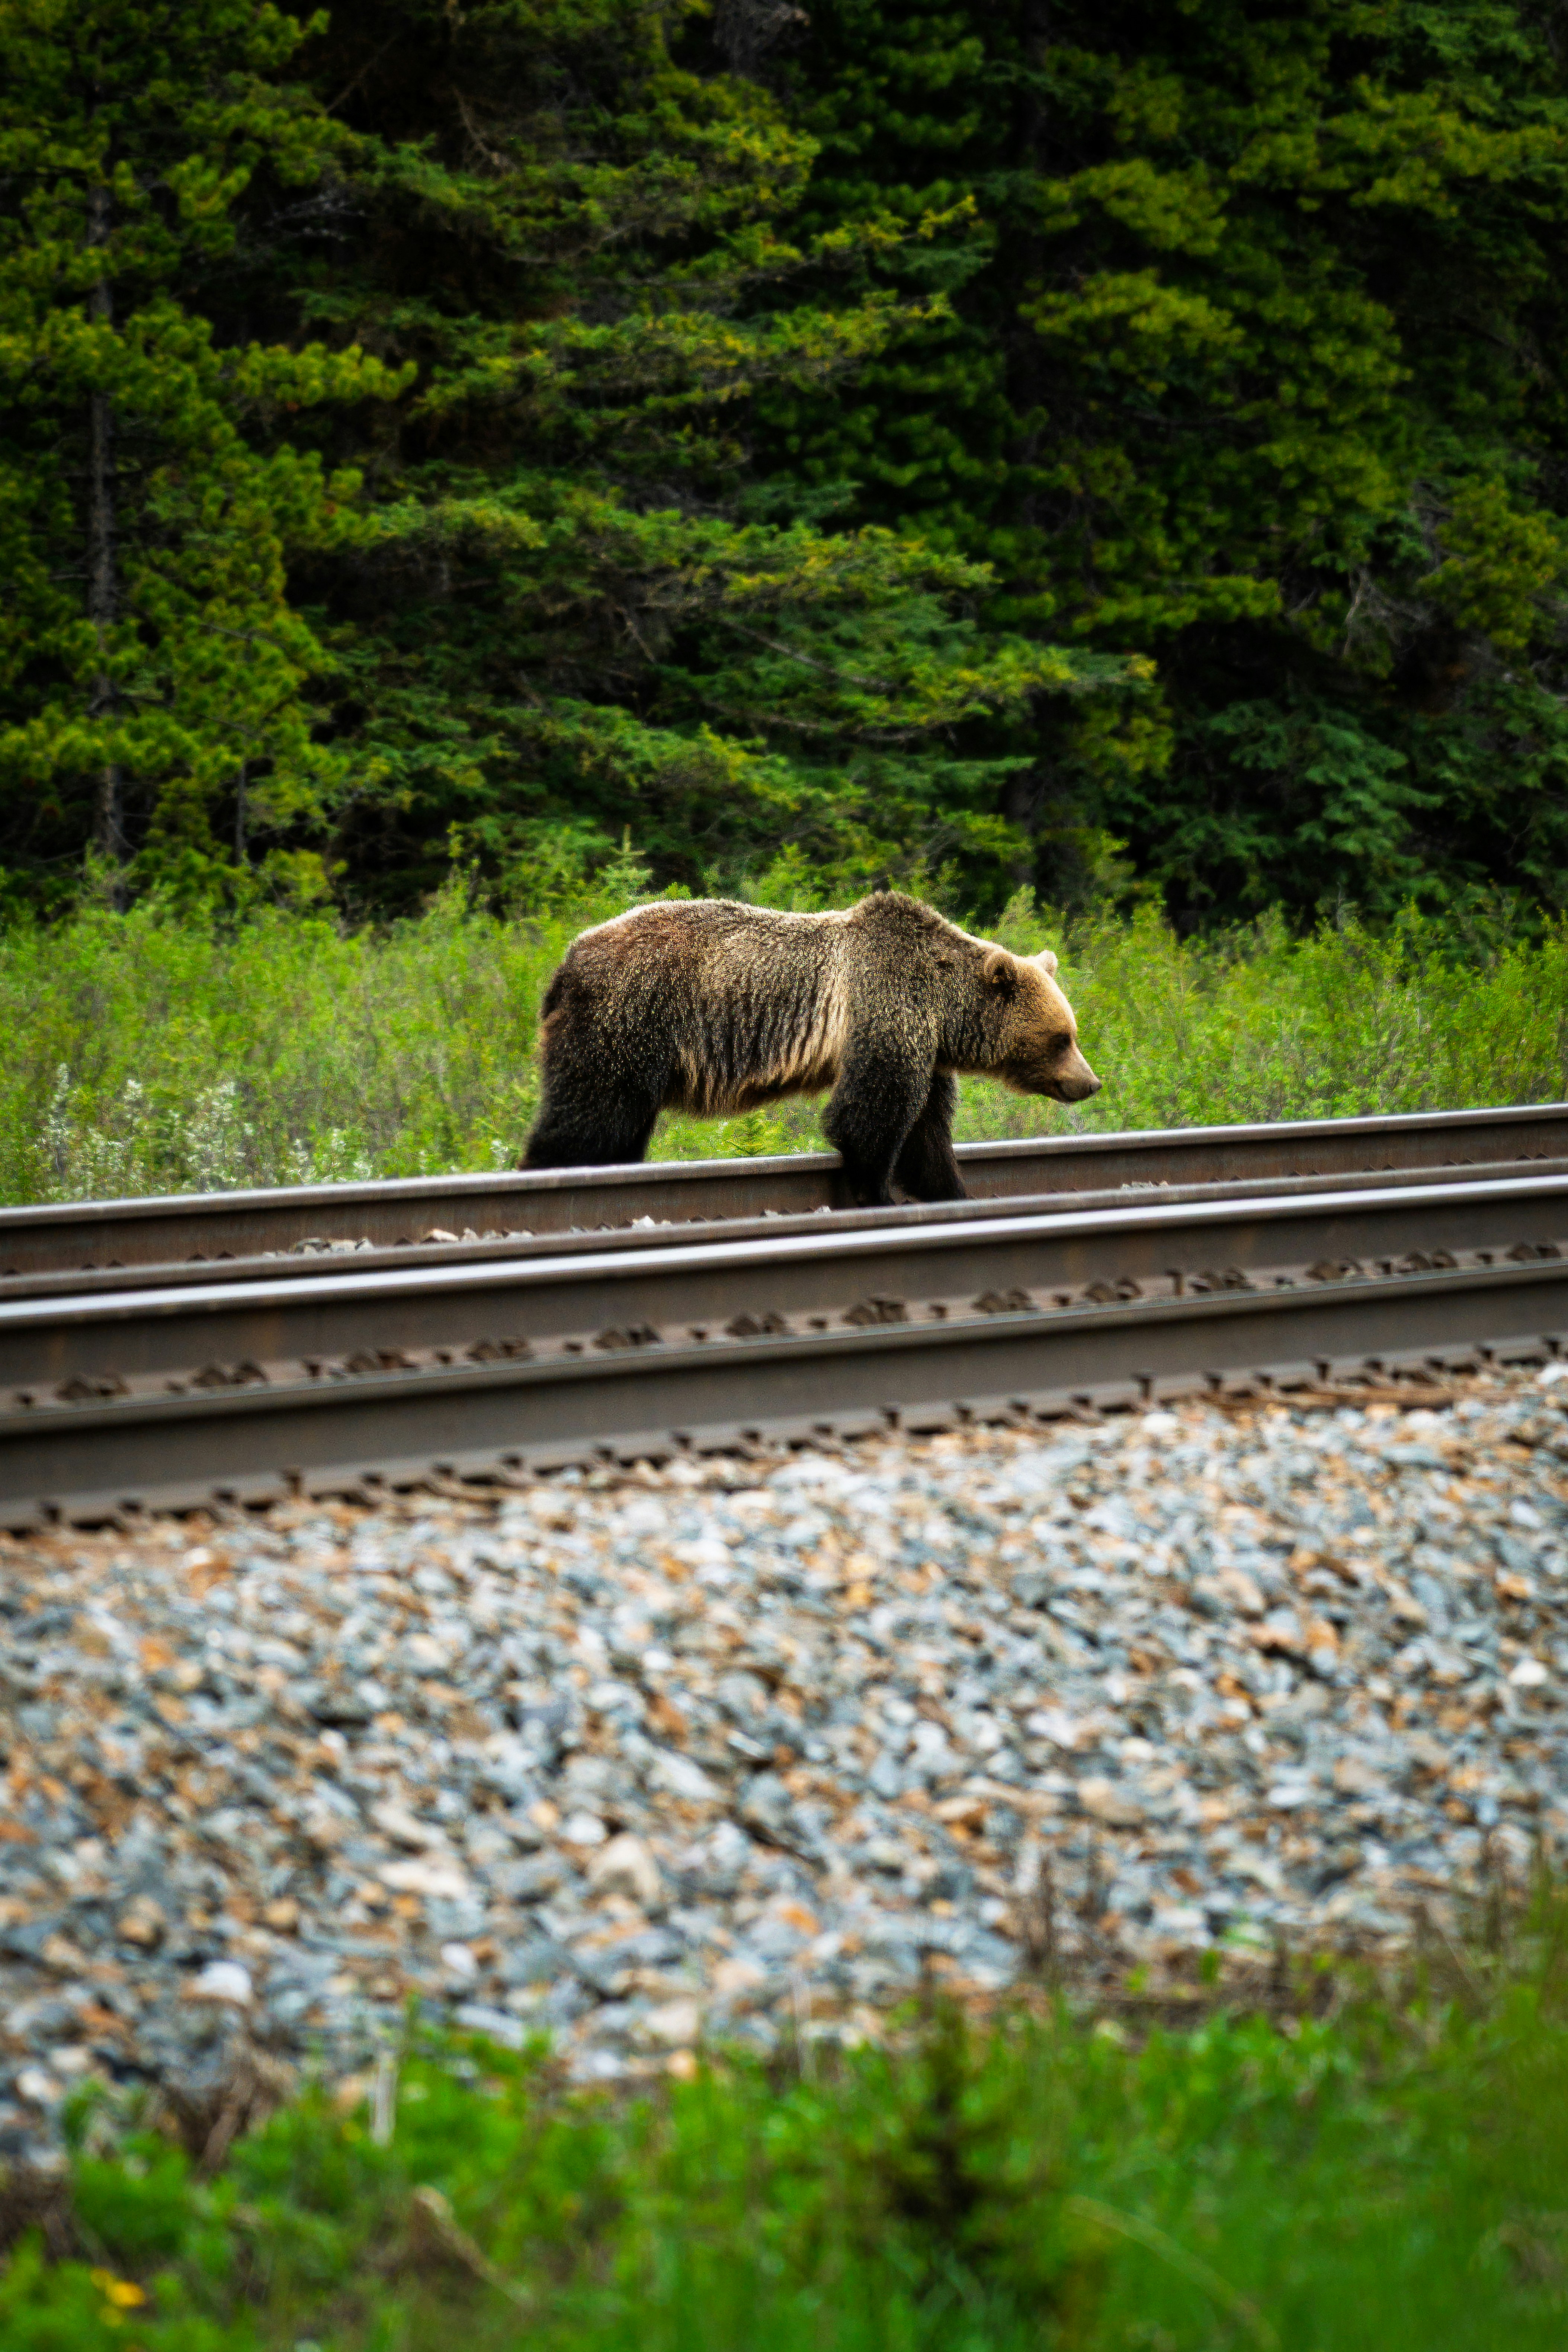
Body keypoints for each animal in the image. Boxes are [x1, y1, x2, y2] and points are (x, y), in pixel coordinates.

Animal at [521, 890, 1101, 1206]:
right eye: (1062, 1038)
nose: (1090, 1082)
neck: (943, 1011)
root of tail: (565, 962)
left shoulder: (925, 1048)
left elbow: (927, 1129)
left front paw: (951, 1190)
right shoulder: (885, 1008)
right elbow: (870, 1114)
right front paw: (877, 1193)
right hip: (630, 1017)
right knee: (590, 1114)